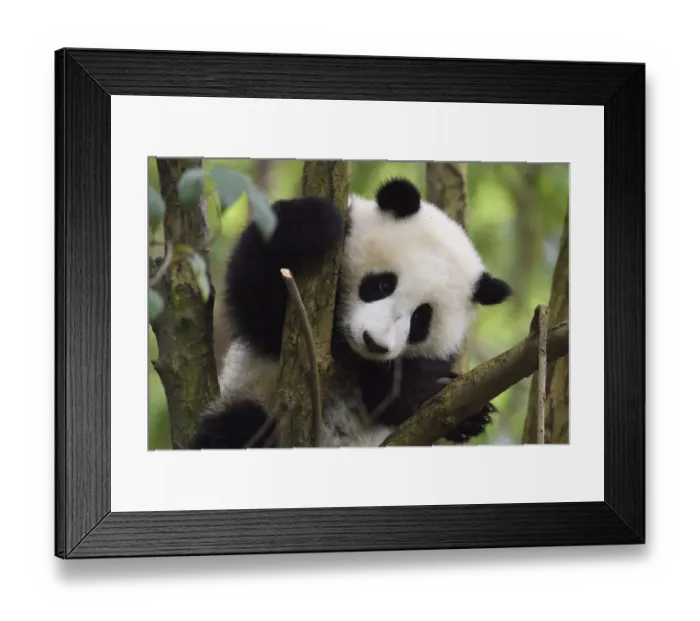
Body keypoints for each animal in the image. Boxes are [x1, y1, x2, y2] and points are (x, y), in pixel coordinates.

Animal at [189, 177, 512, 449]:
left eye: (421, 319)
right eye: (382, 284)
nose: (374, 343)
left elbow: (391, 397)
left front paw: (448, 401)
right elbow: (260, 306)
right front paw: (313, 222)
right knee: (239, 427)